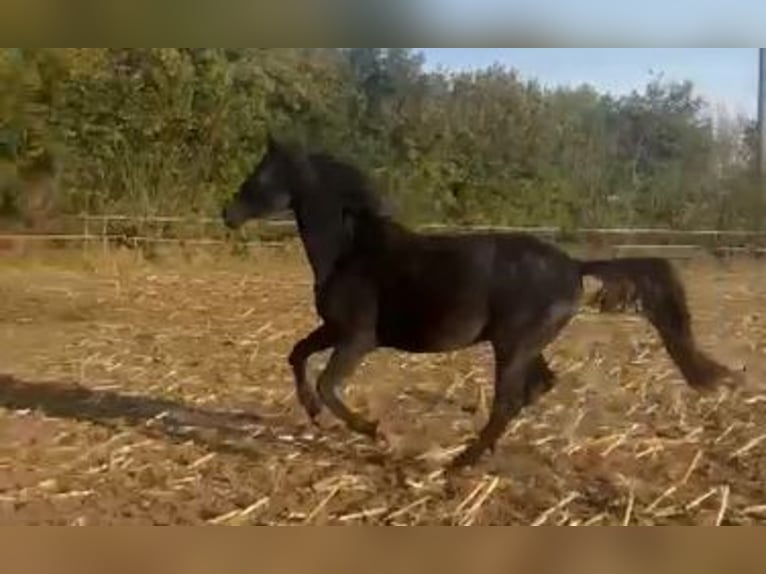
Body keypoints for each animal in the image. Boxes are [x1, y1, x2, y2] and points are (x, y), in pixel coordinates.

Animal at [222, 134, 736, 468]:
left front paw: (377, 432)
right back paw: (479, 452)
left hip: (512, 345)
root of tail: (574, 266)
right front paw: (312, 414)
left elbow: (329, 384)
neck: (352, 249)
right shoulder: (333, 329)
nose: (227, 213)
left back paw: (459, 464)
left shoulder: (358, 338)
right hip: (524, 345)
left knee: (510, 399)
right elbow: (296, 355)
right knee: (537, 387)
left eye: (261, 175)